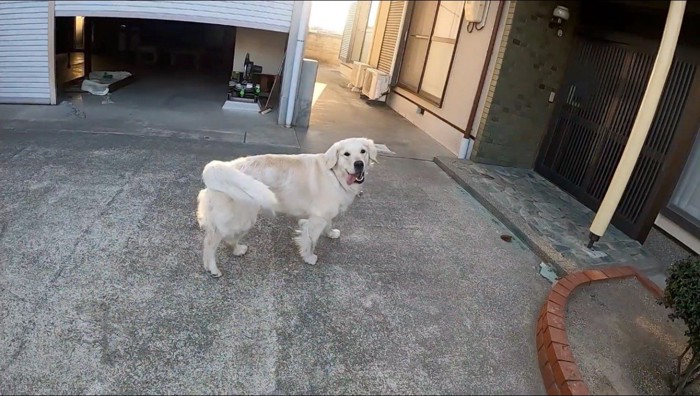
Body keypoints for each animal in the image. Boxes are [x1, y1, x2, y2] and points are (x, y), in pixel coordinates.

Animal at [196, 138, 378, 276]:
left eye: (363, 151)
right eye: (346, 154)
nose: (359, 164)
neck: (335, 175)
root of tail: (221, 167)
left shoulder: (325, 213)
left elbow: (329, 223)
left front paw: (331, 233)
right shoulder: (317, 219)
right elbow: (311, 240)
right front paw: (309, 257)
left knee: (228, 238)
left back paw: (237, 249)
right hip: (239, 217)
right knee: (210, 243)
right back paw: (213, 268)